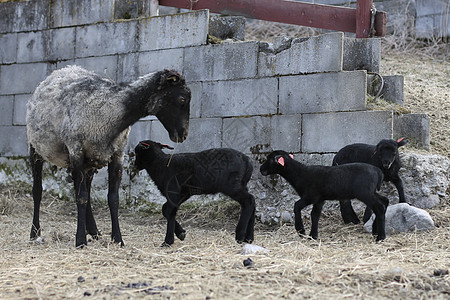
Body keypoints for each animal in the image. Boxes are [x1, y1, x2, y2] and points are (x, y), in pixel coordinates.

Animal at [26, 65, 192, 246]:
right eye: (182, 98)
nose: (183, 134)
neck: (109, 112)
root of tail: (60, 71)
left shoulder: (117, 154)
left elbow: (112, 198)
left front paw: (118, 239)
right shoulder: (76, 151)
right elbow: (81, 197)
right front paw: (80, 240)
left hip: (90, 161)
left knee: (87, 192)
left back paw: (94, 231)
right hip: (36, 148)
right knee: (37, 191)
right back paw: (34, 233)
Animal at [260, 150, 390, 241]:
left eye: (270, 159)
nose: (261, 169)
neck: (300, 174)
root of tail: (378, 172)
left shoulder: (311, 196)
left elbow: (296, 206)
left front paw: (301, 231)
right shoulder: (319, 200)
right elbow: (315, 215)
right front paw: (313, 236)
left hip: (364, 193)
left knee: (379, 207)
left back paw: (381, 237)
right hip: (371, 192)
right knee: (385, 201)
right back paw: (376, 231)